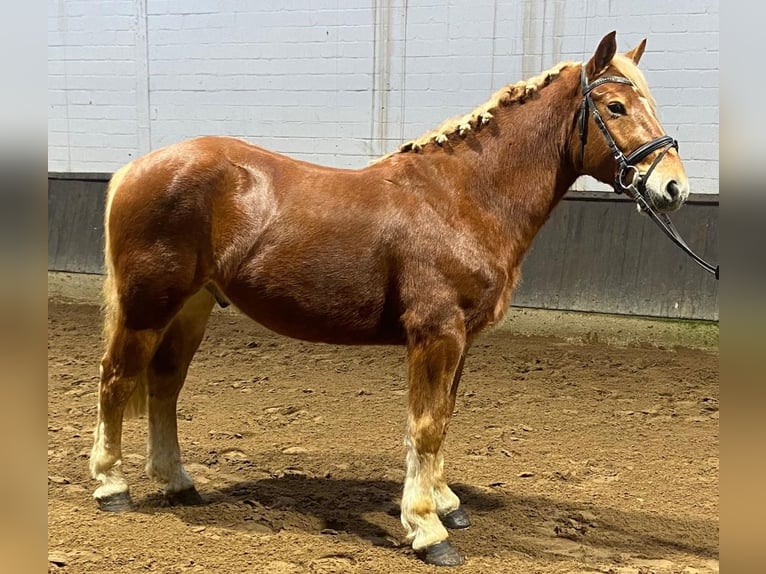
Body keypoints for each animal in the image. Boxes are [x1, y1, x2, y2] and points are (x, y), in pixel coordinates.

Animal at [88, 32, 688, 568]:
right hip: (147, 307)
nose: (674, 188)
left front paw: (446, 505)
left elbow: (443, 418)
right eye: (615, 106)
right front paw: (427, 530)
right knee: (116, 380)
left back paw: (177, 483)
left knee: (164, 387)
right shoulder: (436, 333)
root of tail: (135, 168)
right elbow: (424, 425)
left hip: (190, 308)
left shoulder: (461, 340)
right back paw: (112, 486)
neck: (463, 198)